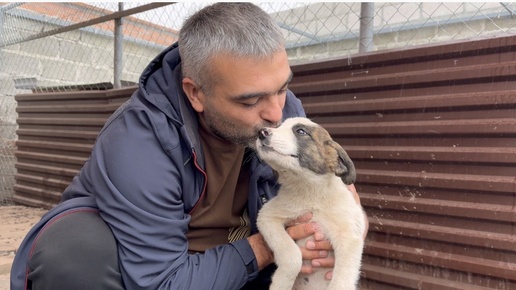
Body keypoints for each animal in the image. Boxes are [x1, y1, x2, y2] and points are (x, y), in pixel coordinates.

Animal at [256, 117, 364, 290]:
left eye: (301, 131)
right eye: (278, 126)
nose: (261, 132)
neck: (312, 194)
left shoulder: (350, 237)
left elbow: (341, 281)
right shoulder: (267, 216)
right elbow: (292, 254)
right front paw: (281, 282)